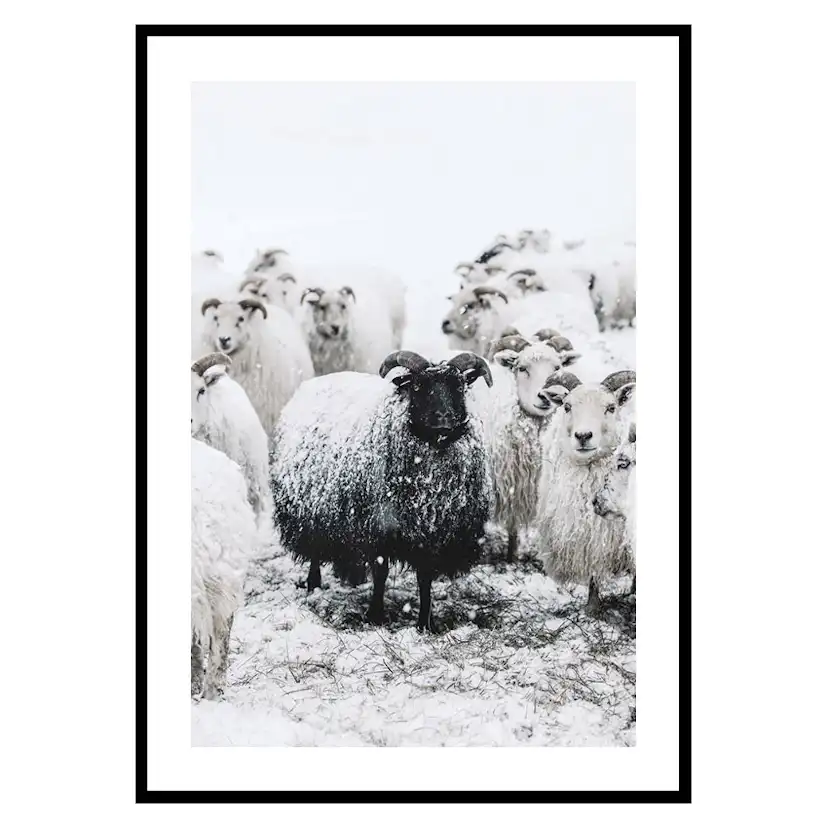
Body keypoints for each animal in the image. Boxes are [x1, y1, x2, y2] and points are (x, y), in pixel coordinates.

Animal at [270, 350, 494, 631]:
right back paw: (314, 586)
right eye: (418, 387)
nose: (444, 419)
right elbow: (381, 572)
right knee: (314, 552)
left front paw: (425, 623)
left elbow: (425, 578)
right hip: (309, 513)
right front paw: (374, 615)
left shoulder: (432, 534)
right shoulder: (378, 526)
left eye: (460, 386)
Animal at [478, 331, 580, 563]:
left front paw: (513, 554)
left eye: (557, 368)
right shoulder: (510, 484)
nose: (544, 396)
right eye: (522, 368)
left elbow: (514, 527)